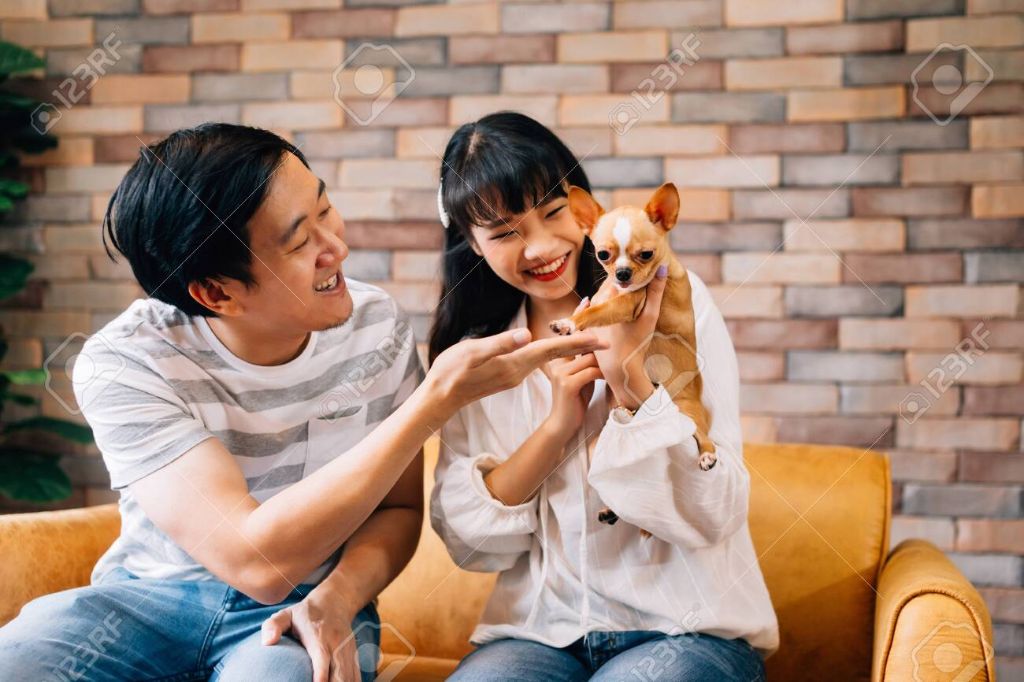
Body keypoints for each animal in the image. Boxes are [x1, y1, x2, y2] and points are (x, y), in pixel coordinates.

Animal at [548, 183, 716, 473]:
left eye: (646, 254)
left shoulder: (628, 304)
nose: (622, 273)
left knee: (703, 436)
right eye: (603, 255)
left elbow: (596, 311)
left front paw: (569, 322)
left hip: (687, 412)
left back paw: (707, 455)